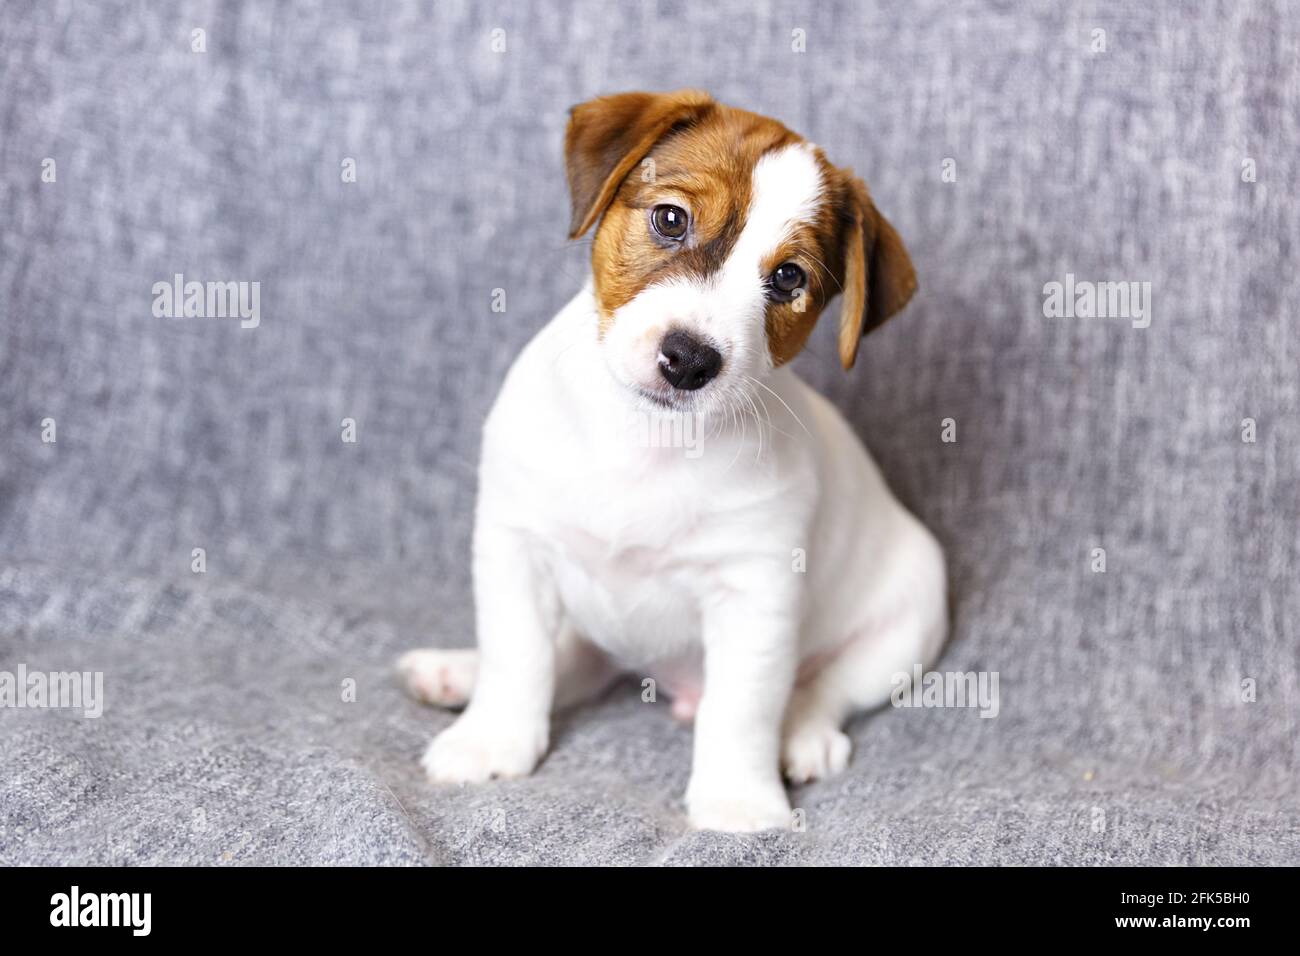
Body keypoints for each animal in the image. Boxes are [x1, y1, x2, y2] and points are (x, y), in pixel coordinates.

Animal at [395, 91, 946, 837]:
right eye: (670, 218)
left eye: (788, 277)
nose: (688, 360)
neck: (646, 443)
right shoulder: (516, 545)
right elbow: (519, 655)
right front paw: (492, 739)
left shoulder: (756, 593)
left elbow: (741, 708)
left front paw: (738, 802)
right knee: (572, 660)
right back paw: (456, 673)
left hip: (907, 628)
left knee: (823, 689)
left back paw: (803, 735)